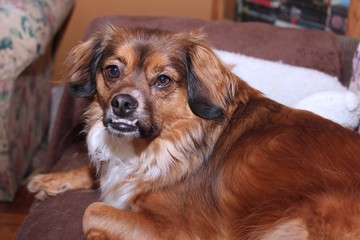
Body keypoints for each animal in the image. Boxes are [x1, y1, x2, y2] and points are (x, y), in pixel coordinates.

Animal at [28, 25, 360, 239]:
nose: (121, 104)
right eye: (112, 70)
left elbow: (93, 210)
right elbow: (94, 173)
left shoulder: (179, 231)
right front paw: (50, 179)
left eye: (163, 80)